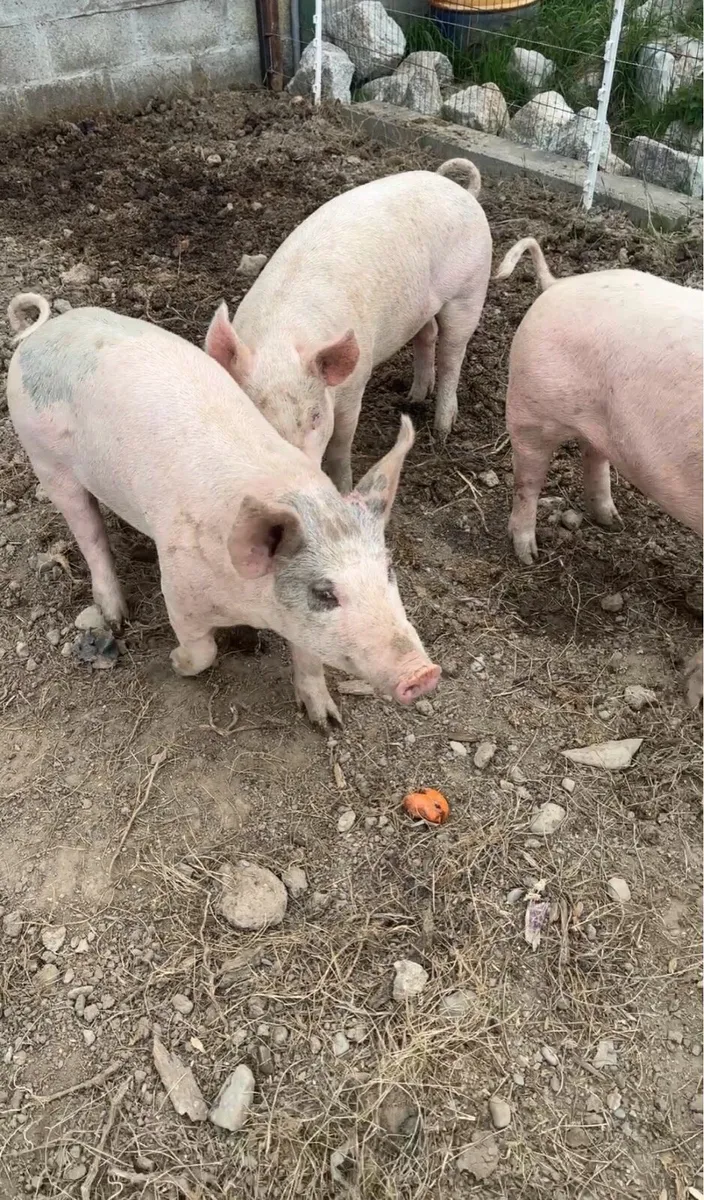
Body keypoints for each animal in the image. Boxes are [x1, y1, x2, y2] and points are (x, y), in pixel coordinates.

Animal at [6, 293, 440, 728]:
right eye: (325, 593)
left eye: (388, 570)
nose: (424, 673)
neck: (250, 603)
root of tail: (38, 334)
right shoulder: (178, 590)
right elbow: (203, 651)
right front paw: (175, 662)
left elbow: (309, 657)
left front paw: (327, 721)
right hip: (45, 459)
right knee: (90, 534)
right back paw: (116, 618)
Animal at [204, 157, 492, 493]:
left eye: (315, 416)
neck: (281, 340)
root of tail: (463, 191)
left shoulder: (354, 386)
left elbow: (340, 447)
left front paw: (343, 488)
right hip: (423, 306)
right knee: (428, 335)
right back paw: (413, 398)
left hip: (470, 290)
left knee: (452, 356)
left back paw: (442, 430)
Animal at [496, 237, 703, 706]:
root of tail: (556, 285)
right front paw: (692, 695)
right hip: (530, 407)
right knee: (527, 482)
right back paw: (529, 554)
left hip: (599, 423)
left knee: (594, 454)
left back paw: (612, 522)